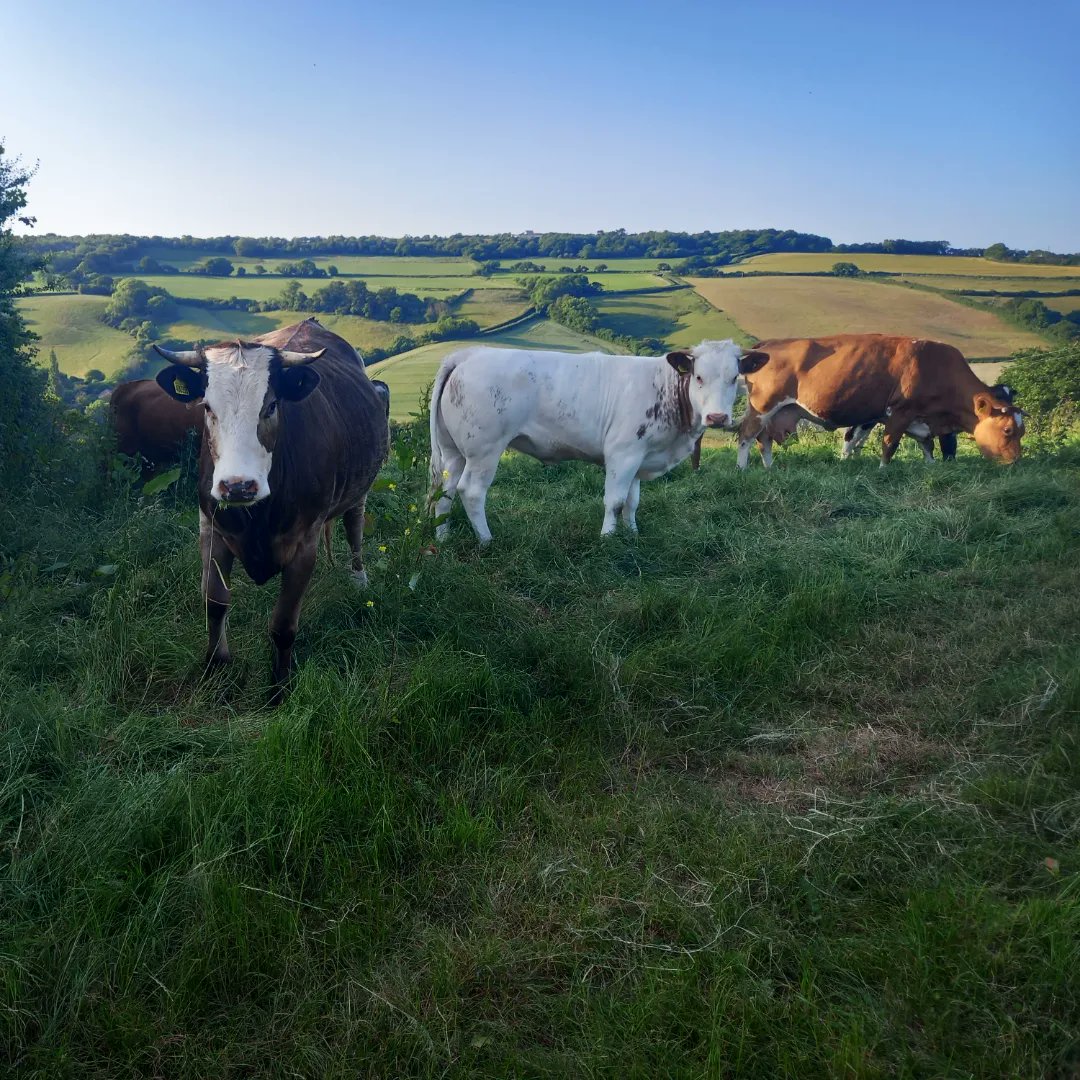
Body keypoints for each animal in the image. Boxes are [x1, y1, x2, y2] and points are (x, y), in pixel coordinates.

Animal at [152, 315, 388, 704]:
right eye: (207, 407)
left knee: (354, 526)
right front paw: (216, 668)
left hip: (362, 486)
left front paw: (279, 688)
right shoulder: (212, 528)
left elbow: (283, 624)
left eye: (272, 405)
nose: (237, 485)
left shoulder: (305, 542)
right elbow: (214, 602)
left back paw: (359, 581)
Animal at [425, 341, 764, 544]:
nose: (718, 417)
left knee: (444, 490)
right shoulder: (623, 453)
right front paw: (608, 539)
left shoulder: (639, 456)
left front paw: (632, 534)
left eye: (734, 378)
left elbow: (632, 501)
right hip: (484, 449)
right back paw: (486, 540)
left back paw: (442, 537)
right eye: (698, 377)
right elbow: (614, 501)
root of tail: (469, 353)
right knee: (471, 491)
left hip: (453, 451)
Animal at [738, 332, 1023, 468]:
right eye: (1008, 430)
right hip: (763, 406)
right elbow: (889, 444)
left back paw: (769, 467)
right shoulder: (899, 412)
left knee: (763, 440)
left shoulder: (915, 418)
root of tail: (767, 345)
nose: (1016, 461)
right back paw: (742, 468)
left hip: (776, 413)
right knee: (746, 435)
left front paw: (931, 467)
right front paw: (883, 469)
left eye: (1022, 431)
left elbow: (927, 445)